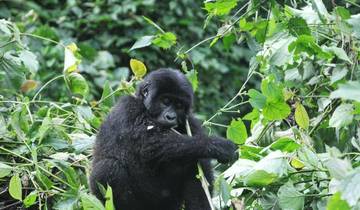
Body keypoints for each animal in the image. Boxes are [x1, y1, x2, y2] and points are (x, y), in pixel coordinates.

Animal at [89, 69, 238, 210]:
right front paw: (217, 145)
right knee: (109, 166)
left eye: (179, 105)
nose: (171, 117)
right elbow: (148, 146)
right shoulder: (127, 107)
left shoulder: (190, 122)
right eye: (165, 101)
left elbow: (201, 165)